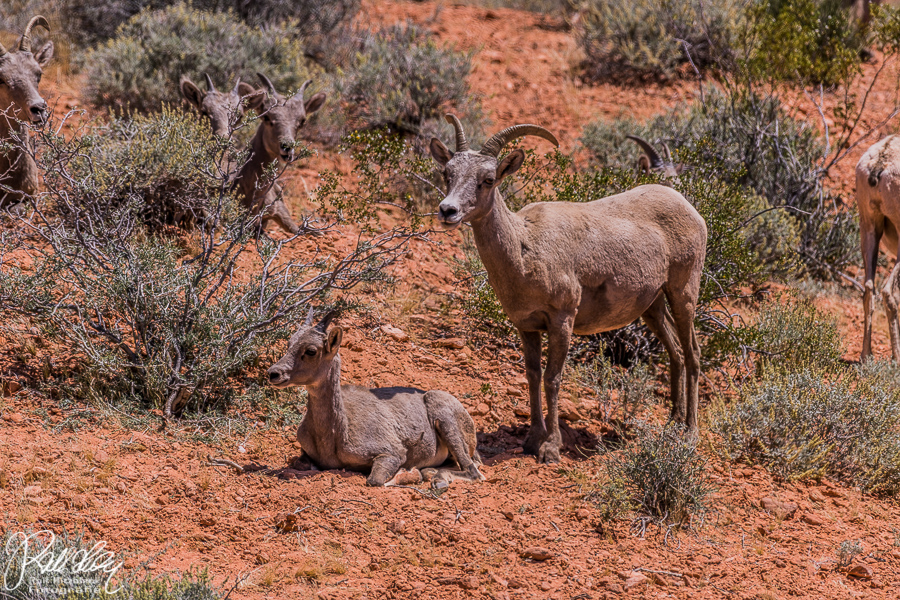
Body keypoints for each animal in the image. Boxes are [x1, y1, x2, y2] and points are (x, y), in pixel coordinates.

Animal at [267, 310, 485, 489]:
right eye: (289, 344)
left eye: (311, 351)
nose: (274, 374)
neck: (337, 432)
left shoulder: (391, 454)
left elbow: (375, 480)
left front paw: (408, 473)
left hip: (445, 421)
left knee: (474, 472)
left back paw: (436, 479)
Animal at [429, 115, 707, 463]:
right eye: (448, 173)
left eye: (488, 179)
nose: (447, 210)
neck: (526, 249)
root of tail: (689, 207)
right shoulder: (526, 326)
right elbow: (533, 375)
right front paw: (532, 440)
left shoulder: (562, 319)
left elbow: (553, 378)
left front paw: (550, 448)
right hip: (652, 306)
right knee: (676, 353)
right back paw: (672, 423)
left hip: (683, 293)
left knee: (693, 352)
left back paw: (690, 432)